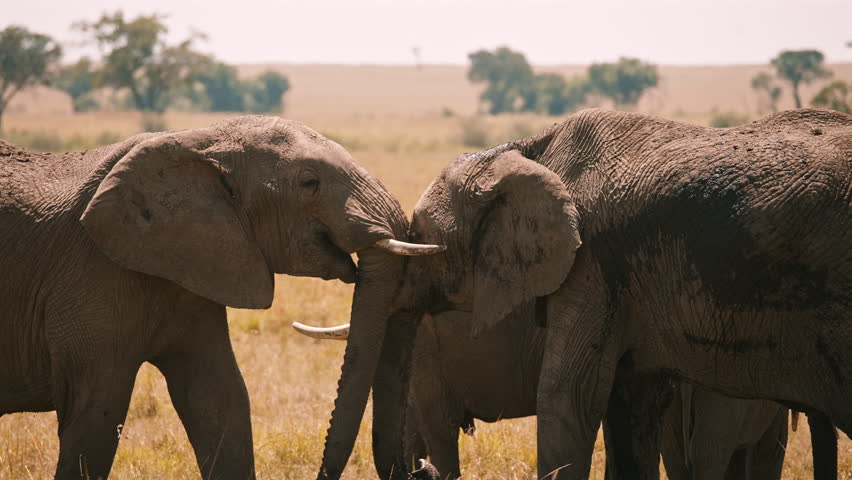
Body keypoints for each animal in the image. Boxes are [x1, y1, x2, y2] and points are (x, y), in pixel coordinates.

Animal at [0, 116, 442, 479]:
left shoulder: (197, 267)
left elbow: (220, 399)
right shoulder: (92, 274)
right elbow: (95, 414)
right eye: (309, 182)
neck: (198, 141)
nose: (422, 468)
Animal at [313, 108, 851, 480]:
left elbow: (567, 396)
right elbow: (628, 406)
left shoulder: (593, 264)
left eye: (421, 235)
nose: (416, 471)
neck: (529, 152)